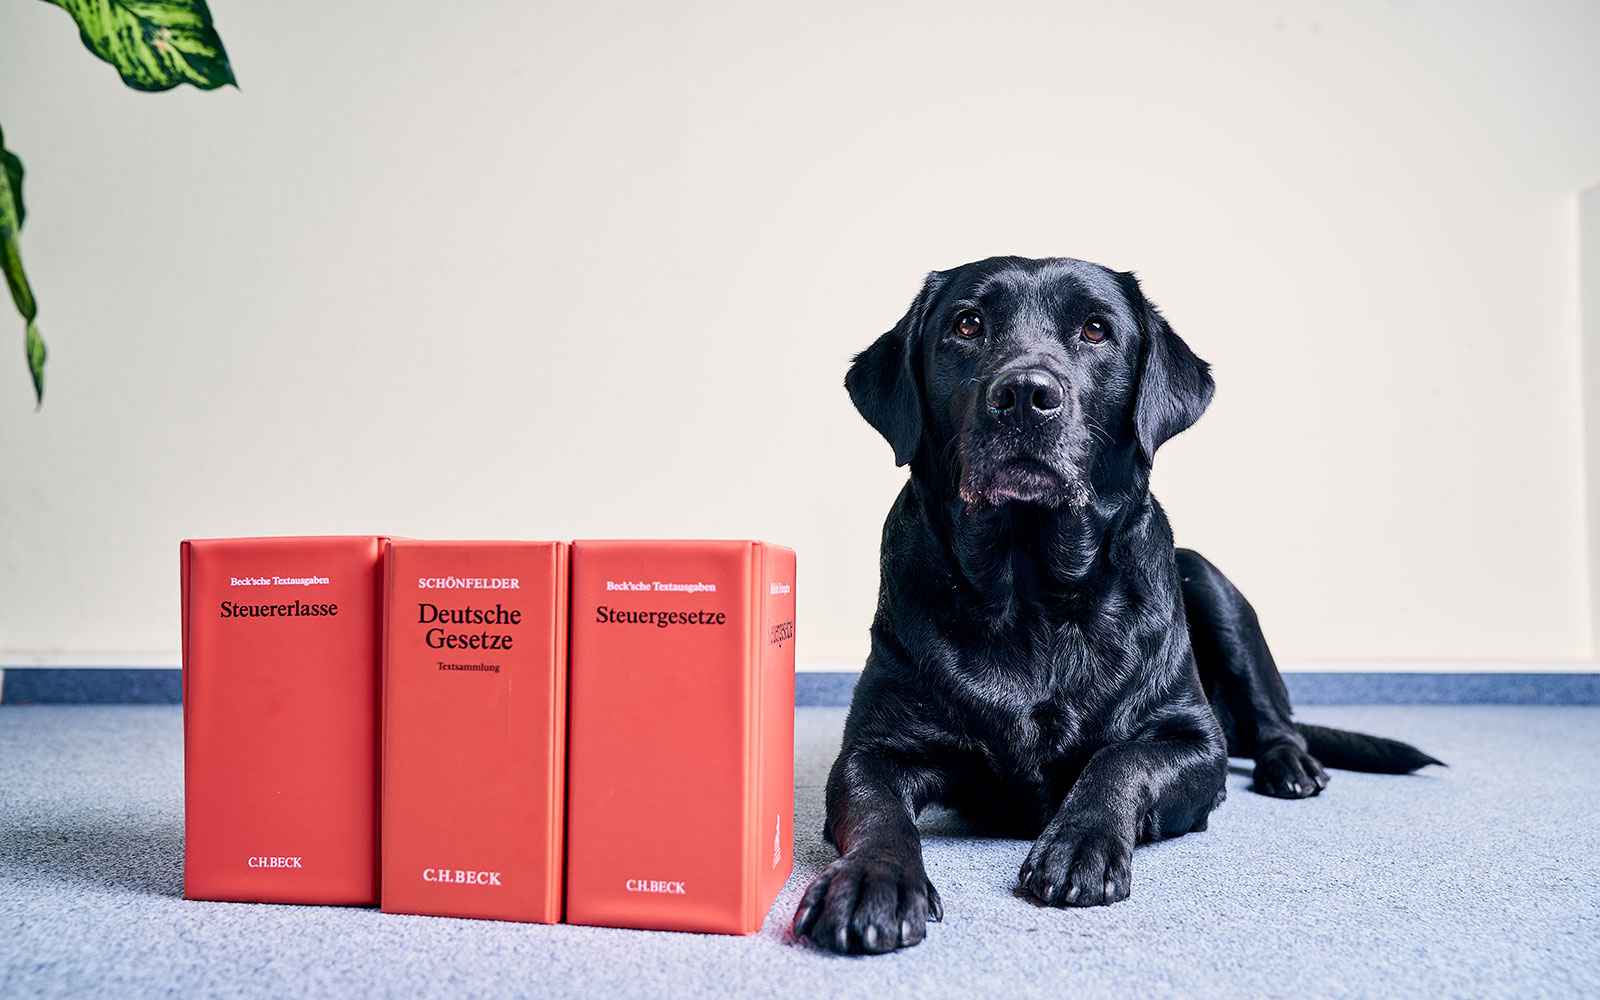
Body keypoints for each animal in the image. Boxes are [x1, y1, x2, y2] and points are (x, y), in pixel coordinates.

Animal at [793, 256, 1446, 953]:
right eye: (967, 324)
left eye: (1095, 329)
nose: (1024, 394)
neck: (1031, 593)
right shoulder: (873, 750)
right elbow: (877, 809)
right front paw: (872, 881)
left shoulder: (1193, 740)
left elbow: (1119, 758)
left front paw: (1079, 844)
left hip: (1207, 582)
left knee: (1276, 720)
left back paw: (1291, 765)